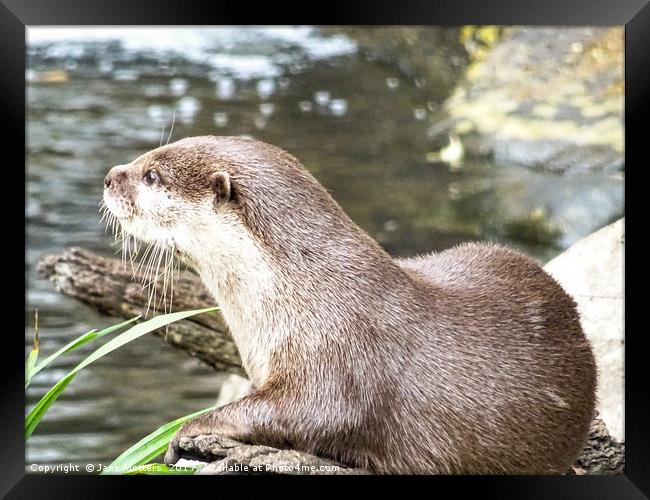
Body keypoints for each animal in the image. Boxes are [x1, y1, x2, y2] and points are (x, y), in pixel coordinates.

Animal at [104, 136, 596, 472]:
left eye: (152, 175)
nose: (109, 176)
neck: (300, 292)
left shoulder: (334, 357)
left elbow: (308, 413)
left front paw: (186, 431)